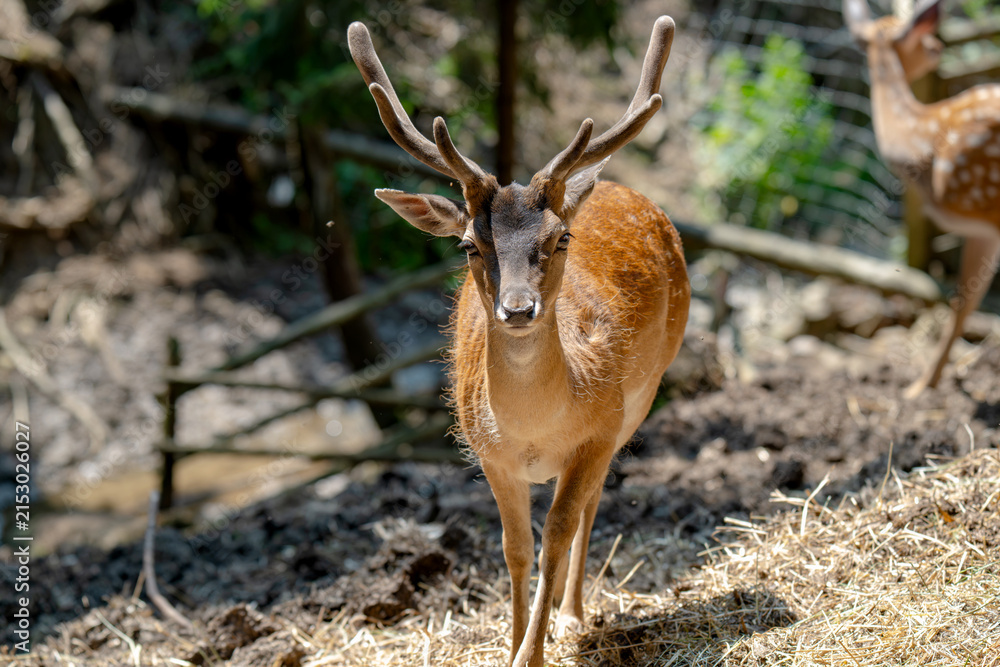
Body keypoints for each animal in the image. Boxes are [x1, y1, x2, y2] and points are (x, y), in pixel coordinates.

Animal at [348, 16, 689, 667]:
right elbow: (514, 547)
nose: (518, 308)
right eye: (469, 246)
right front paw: (510, 643)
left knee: (591, 505)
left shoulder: (597, 432)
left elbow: (556, 533)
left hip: (641, 398)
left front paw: (534, 647)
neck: (535, 430)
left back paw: (573, 613)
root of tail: (612, 186)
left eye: (559, 240)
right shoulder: (490, 454)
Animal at [845, 0, 1000, 398]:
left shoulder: (985, 212)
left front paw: (916, 389)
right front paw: (925, 385)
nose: (938, 47)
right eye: (926, 42)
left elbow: (964, 300)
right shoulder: (984, 228)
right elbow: (965, 300)